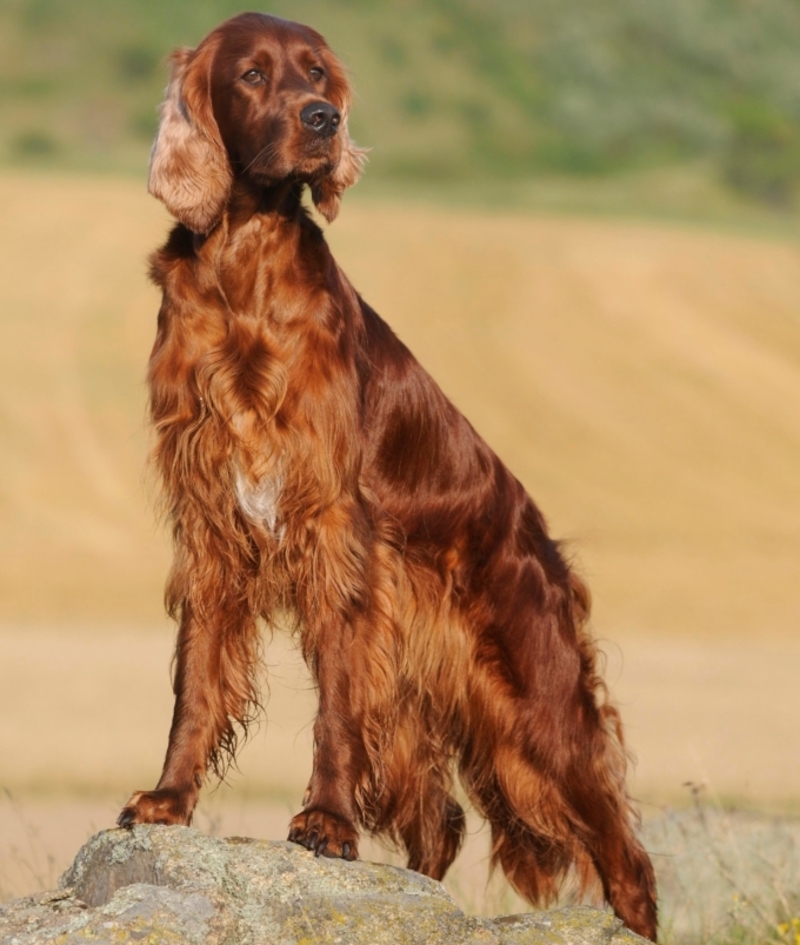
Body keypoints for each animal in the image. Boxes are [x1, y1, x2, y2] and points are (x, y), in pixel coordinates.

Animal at [117, 11, 656, 940]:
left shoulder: (336, 529)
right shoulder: (212, 524)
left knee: (625, 852)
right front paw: (169, 799)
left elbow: (332, 705)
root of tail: (544, 544)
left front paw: (326, 822)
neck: (244, 271)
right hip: (414, 695)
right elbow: (197, 682)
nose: (323, 120)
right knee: (440, 820)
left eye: (317, 74)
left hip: (539, 705)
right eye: (253, 74)